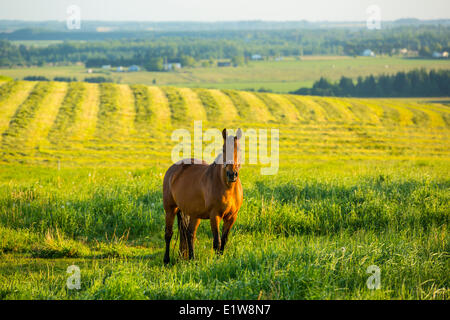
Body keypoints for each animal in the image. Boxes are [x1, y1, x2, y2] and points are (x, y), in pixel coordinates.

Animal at [163, 129, 243, 264]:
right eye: (223, 149)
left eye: (240, 149)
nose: (232, 174)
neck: (227, 187)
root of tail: (173, 169)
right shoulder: (215, 216)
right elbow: (217, 242)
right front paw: (217, 262)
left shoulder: (232, 217)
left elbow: (224, 240)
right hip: (170, 209)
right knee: (168, 234)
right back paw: (166, 260)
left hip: (195, 214)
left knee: (190, 233)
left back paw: (192, 259)